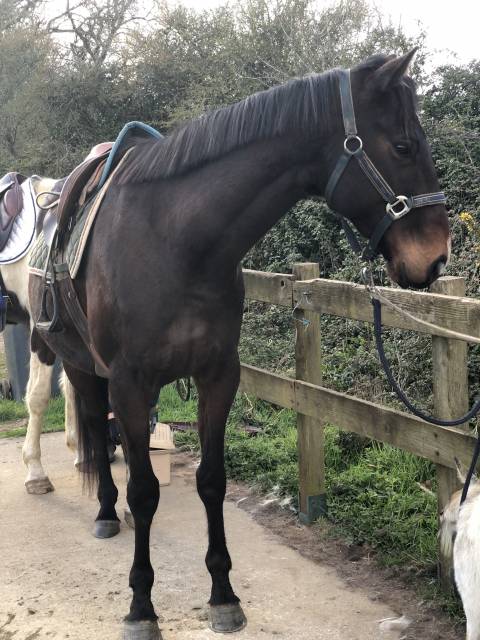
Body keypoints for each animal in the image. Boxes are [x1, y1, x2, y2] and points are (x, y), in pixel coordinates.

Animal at [29, 51, 451, 639]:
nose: (437, 257)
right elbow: (144, 489)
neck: (176, 241)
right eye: (404, 146)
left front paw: (223, 594)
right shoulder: (130, 384)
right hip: (80, 365)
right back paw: (106, 513)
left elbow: (211, 480)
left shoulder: (217, 377)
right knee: (93, 427)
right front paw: (141, 605)